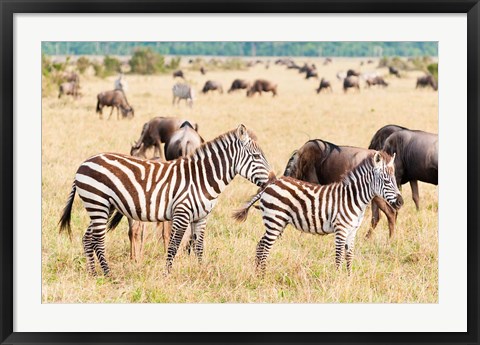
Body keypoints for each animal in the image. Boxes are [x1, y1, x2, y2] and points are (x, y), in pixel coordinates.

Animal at [58, 125, 272, 276]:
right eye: (256, 156)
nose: (272, 180)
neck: (201, 178)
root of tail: (84, 163)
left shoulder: (201, 217)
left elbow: (199, 246)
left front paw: (201, 271)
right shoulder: (182, 213)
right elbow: (174, 245)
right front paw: (167, 274)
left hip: (103, 206)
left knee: (88, 238)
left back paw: (93, 274)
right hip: (98, 203)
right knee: (98, 239)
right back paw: (108, 274)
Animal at [234, 150, 404, 274]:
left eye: (395, 181)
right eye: (386, 181)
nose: (400, 202)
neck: (353, 198)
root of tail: (270, 184)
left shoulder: (352, 231)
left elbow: (349, 256)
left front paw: (349, 279)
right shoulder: (341, 229)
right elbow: (339, 257)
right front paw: (337, 280)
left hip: (277, 222)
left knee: (260, 245)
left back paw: (258, 274)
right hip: (275, 221)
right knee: (264, 247)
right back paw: (263, 275)